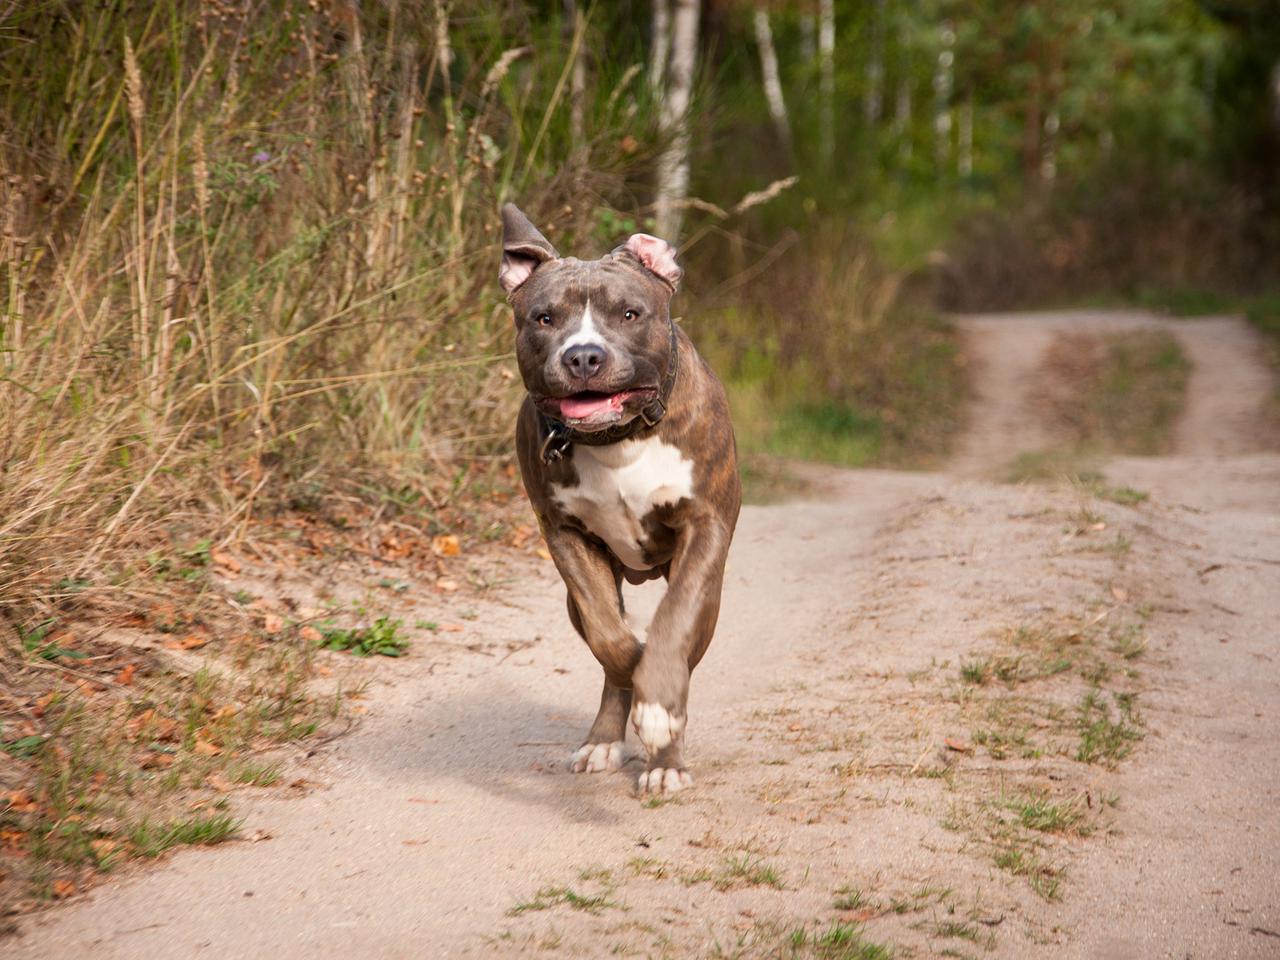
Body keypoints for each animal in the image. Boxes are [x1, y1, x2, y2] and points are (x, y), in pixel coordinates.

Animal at [499, 203, 742, 798]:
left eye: (630, 313)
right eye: (544, 318)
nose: (584, 356)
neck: (618, 440)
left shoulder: (704, 528)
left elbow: (673, 625)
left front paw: (659, 709)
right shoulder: (565, 536)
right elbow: (610, 638)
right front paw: (635, 669)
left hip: (711, 595)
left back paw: (664, 759)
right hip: (578, 594)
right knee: (606, 644)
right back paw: (606, 738)